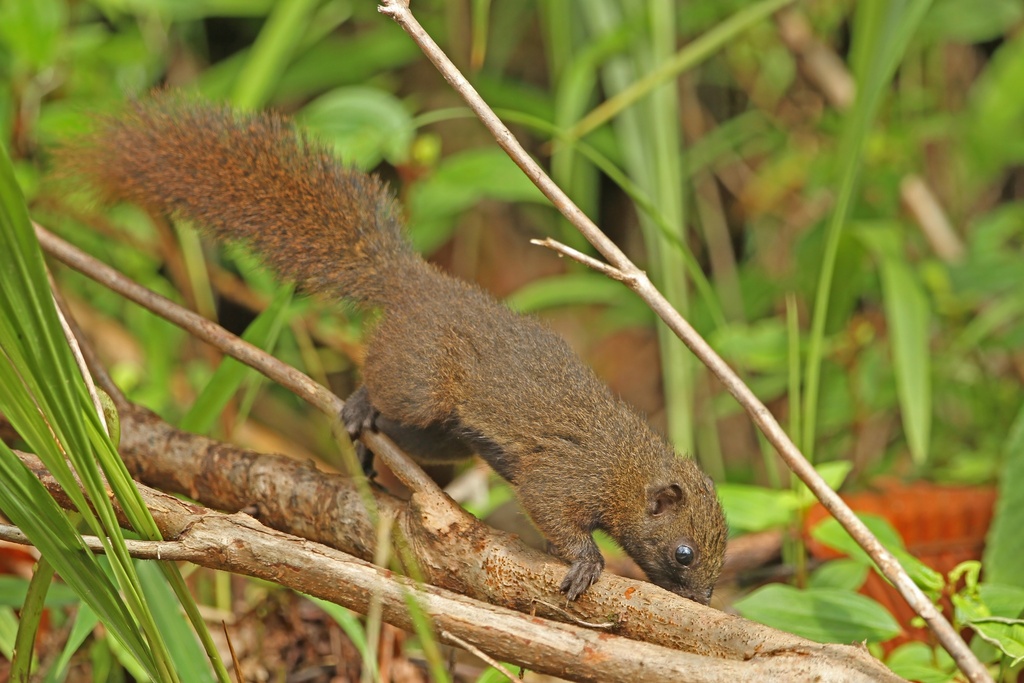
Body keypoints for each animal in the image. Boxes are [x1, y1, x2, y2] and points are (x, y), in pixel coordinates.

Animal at [57, 92, 728, 603]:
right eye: (684, 552)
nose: (702, 600)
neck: (627, 466)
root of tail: (413, 281)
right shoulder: (566, 477)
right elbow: (554, 513)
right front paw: (586, 561)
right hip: (420, 385)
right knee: (376, 383)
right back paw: (356, 408)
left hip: (445, 439)